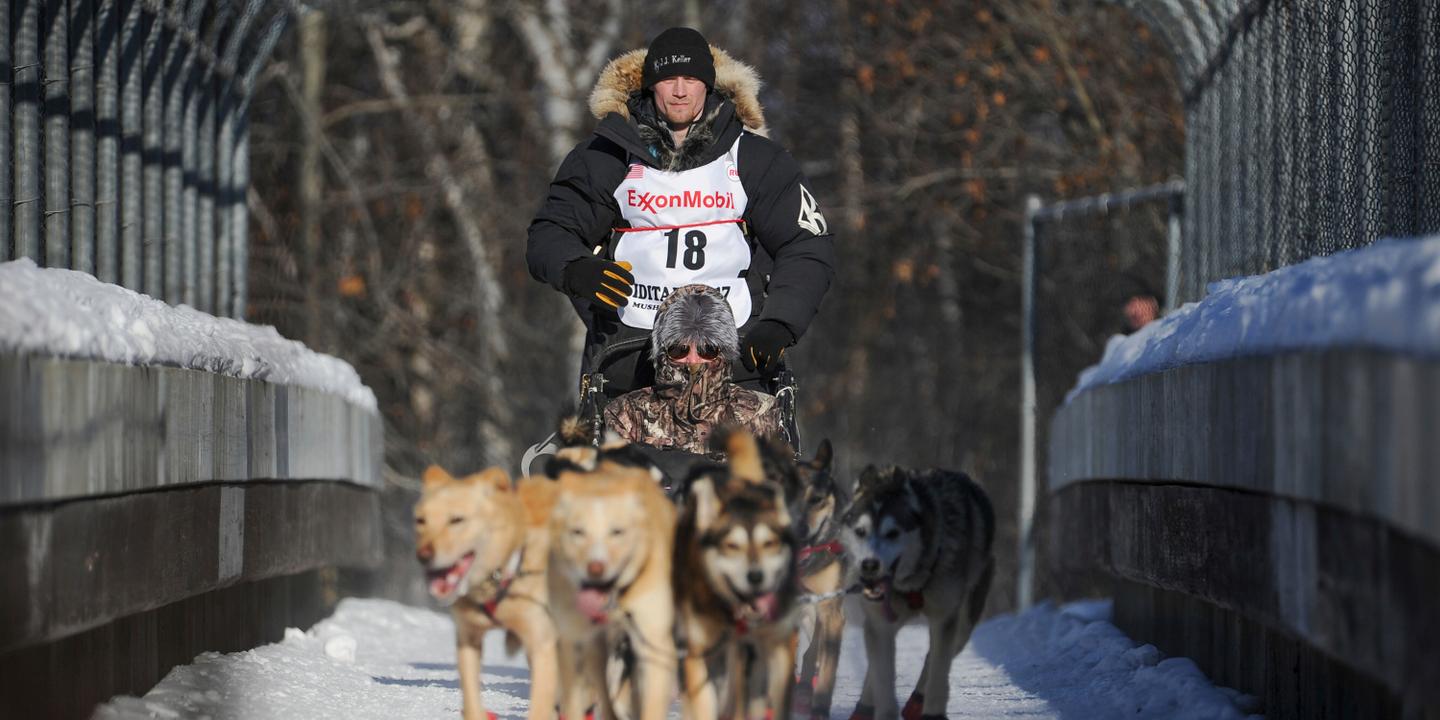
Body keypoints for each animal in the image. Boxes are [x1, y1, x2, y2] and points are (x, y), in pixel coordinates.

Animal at [414, 463, 558, 720]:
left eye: (457, 519)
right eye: (420, 520)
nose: (423, 555)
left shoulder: (542, 644)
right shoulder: (468, 639)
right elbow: (471, 701)